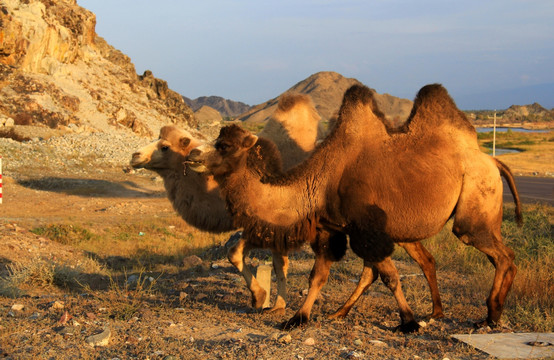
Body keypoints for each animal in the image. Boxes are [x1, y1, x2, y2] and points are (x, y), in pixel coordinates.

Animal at [188, 83, 520, 332]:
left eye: (223, 146)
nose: (192, 154)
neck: (322, 180)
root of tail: (493, 161)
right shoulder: (331, 229)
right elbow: (319, 275)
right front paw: (298, 318)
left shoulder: (368, 229)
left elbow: (389, 276)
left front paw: (409, 322)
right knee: (478, 257)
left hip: (476, 200)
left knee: (500, 253)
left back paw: (490, 315)